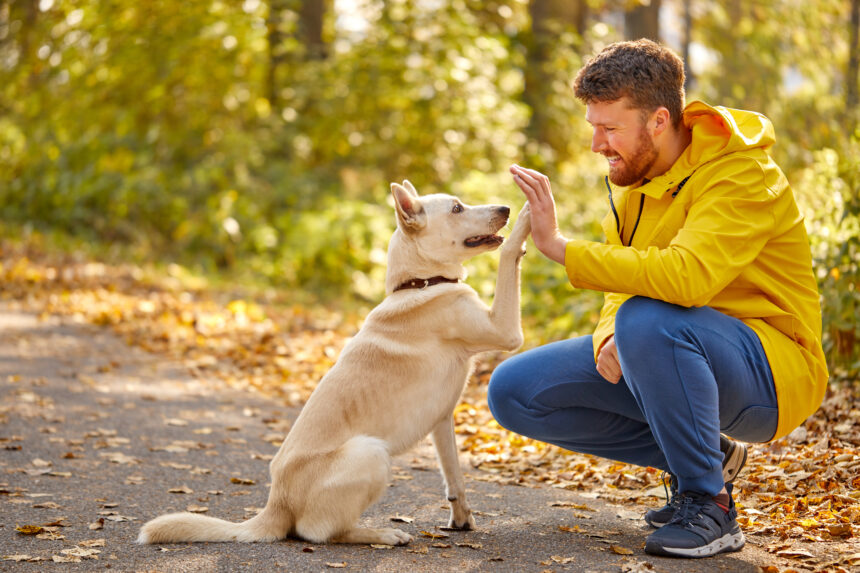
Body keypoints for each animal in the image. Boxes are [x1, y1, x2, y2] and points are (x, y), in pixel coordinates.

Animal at [138, 180, 528, 544]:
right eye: (457, 208)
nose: (505, 208)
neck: (420, 283)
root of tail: (276, 504)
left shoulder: (442, 421)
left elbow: (454, 478)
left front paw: (461, 519)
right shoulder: (505, 330)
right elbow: (509, 254)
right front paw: (528, 215)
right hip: (371, 452)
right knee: (318, 532)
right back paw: (381, 534)